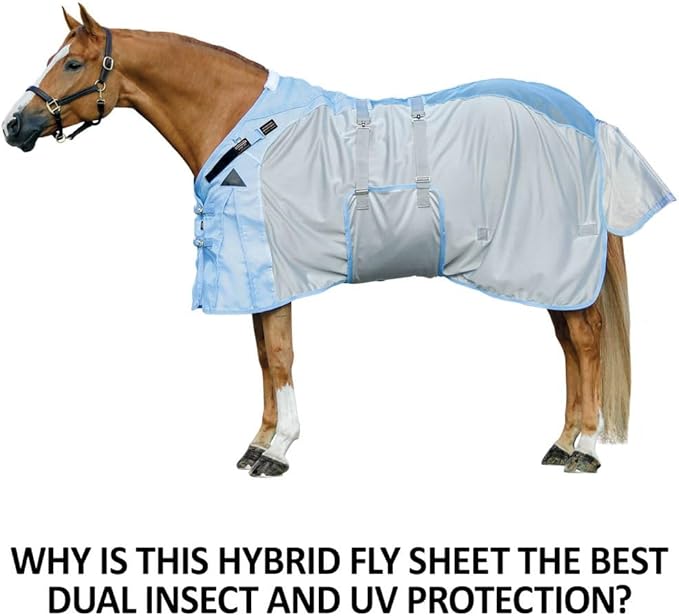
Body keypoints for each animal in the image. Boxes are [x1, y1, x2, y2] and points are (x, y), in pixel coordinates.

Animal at [3, 6, 674, 477]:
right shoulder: (262, 280)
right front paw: (258, 443)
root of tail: (589, 123)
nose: (14, 125)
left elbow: (279, 356)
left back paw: (586, 449)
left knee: (586, 345)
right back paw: (561, 443)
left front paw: (278, 451)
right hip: (550, 279)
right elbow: (263, 359)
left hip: (558, 267)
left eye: (71, 64)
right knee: (570, 349)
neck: (246, 131)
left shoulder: (274, 272)